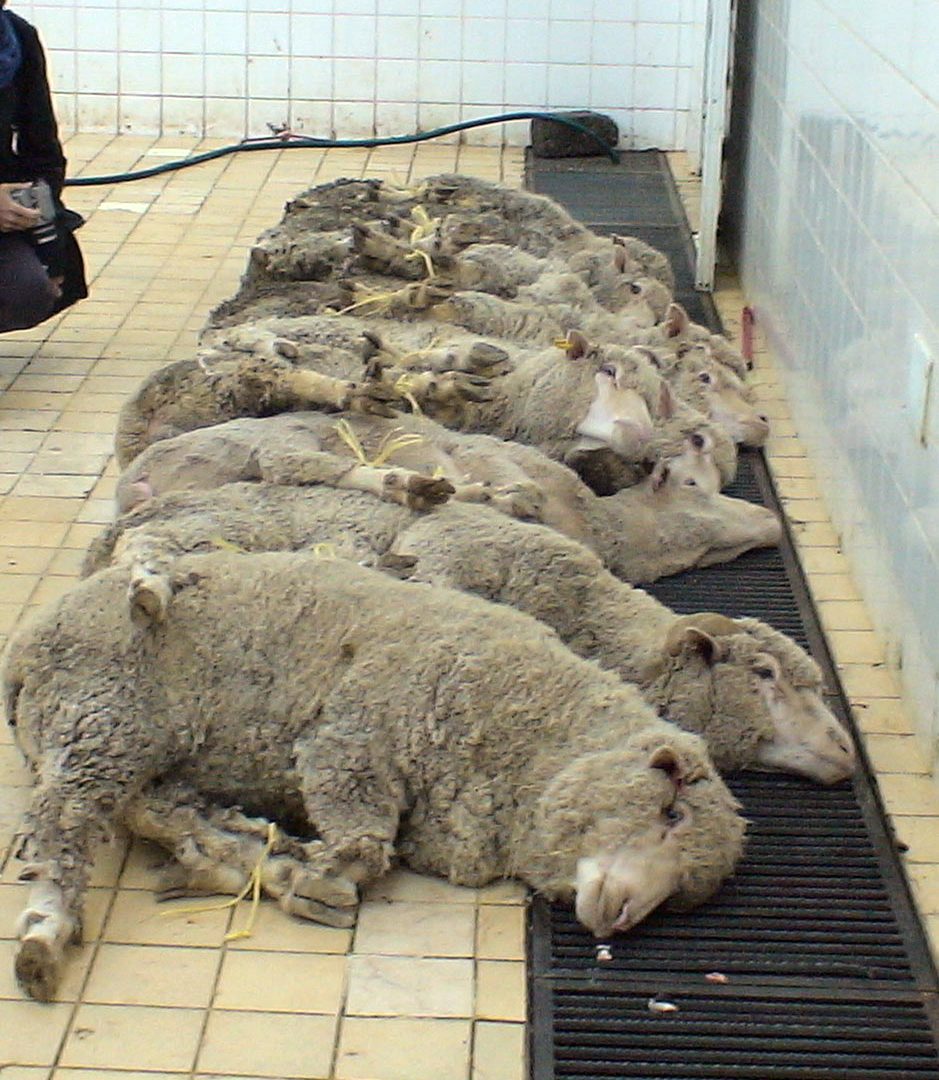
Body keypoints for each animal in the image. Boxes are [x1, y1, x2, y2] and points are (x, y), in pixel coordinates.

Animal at [1, 552, 747, 997]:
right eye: (671, 809)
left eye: (683, 894)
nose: (620, 916)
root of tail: (27, 644)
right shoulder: (353, 736)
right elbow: (362, 841)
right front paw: (319, 874)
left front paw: (300, 871)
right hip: (101, 715)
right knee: (64, 826)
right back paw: (44, 933)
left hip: (118, 739)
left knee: (154, 809)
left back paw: (238, 854)